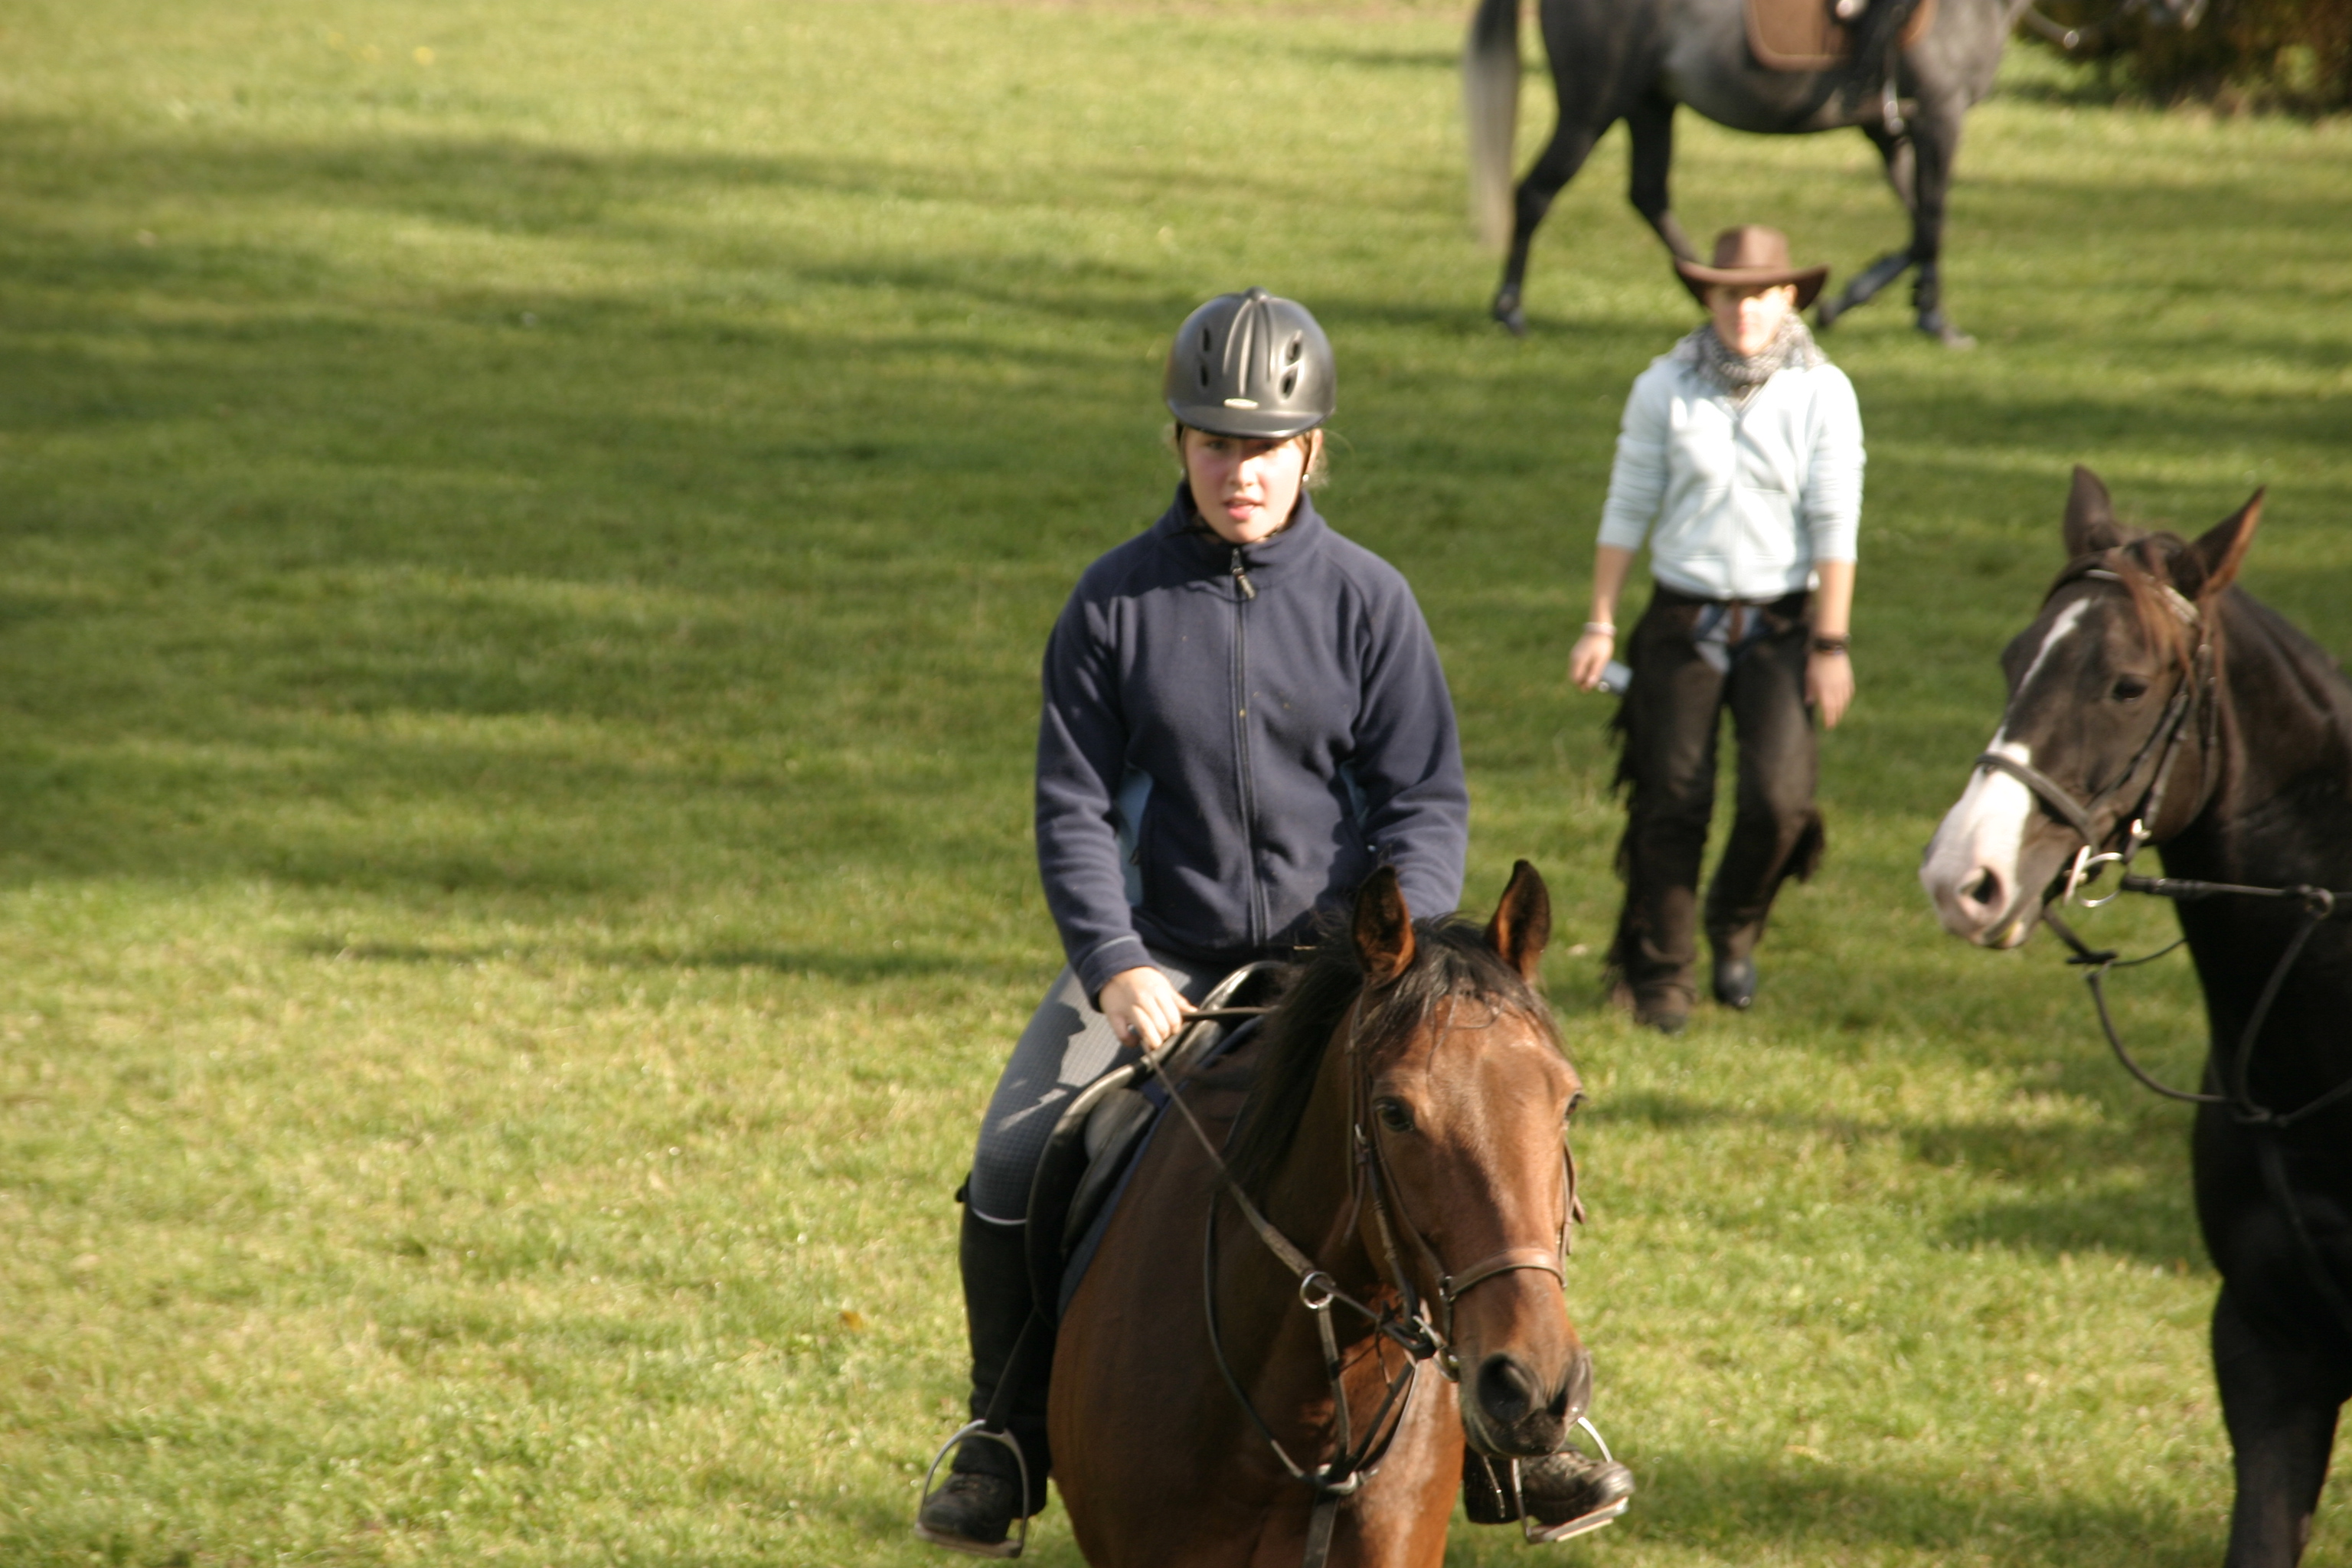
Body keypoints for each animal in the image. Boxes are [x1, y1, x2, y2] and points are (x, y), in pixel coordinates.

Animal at [1467, 0, 2201, 343]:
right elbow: (1932, 221)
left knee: (1648, 194)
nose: (2188, 12)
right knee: (1536, 192)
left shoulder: (1891, 128)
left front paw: (1889, 302)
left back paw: (1715, 290)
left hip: (1650, 103)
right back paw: (1509, 310)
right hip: (1595, 105)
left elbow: (1919, 223)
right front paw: (1913, 314)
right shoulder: (1940, 119)